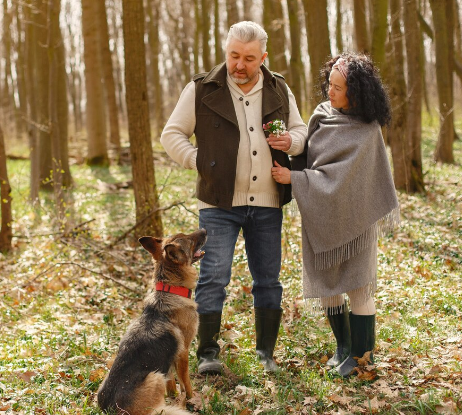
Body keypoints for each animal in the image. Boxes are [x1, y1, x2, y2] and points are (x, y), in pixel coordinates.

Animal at [98, 231, 208, 415]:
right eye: (190, 240)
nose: (205, 230)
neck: (169, 290)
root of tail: (111, 410)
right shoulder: (183, 353)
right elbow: (186, 383)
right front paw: (191, 399)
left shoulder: (168, 363)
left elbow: (172, 383)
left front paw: (175, 396)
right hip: (155, 376)